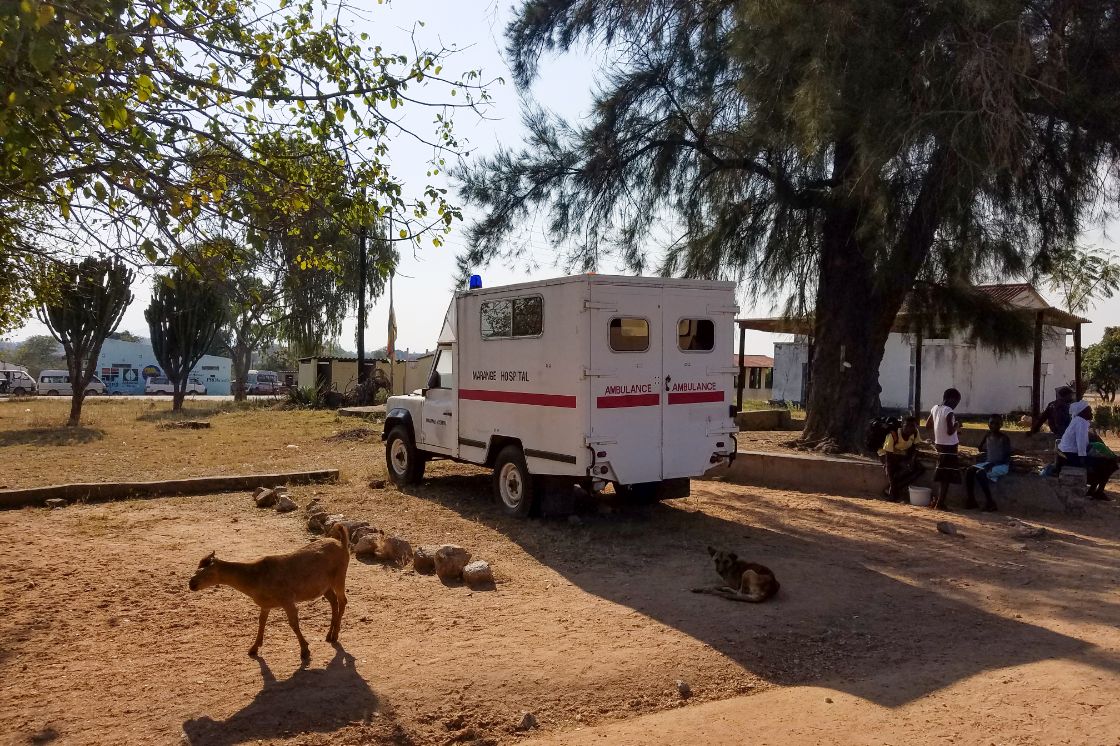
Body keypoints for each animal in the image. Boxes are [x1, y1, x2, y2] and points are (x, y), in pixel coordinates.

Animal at [189, 517, 349, 658]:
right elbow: (261, 623)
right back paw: (329, 635)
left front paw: (305, 651)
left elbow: (293, 623)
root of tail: (343, 545)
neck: (256, 578)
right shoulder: (265, 605)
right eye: (197, 567)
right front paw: (253, 648)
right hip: (325, 586)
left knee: (342, 600)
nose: (191, 584)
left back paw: (335, 635)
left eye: (206, 572)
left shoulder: (287, 599)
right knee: (333, 602)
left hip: (340, 577)